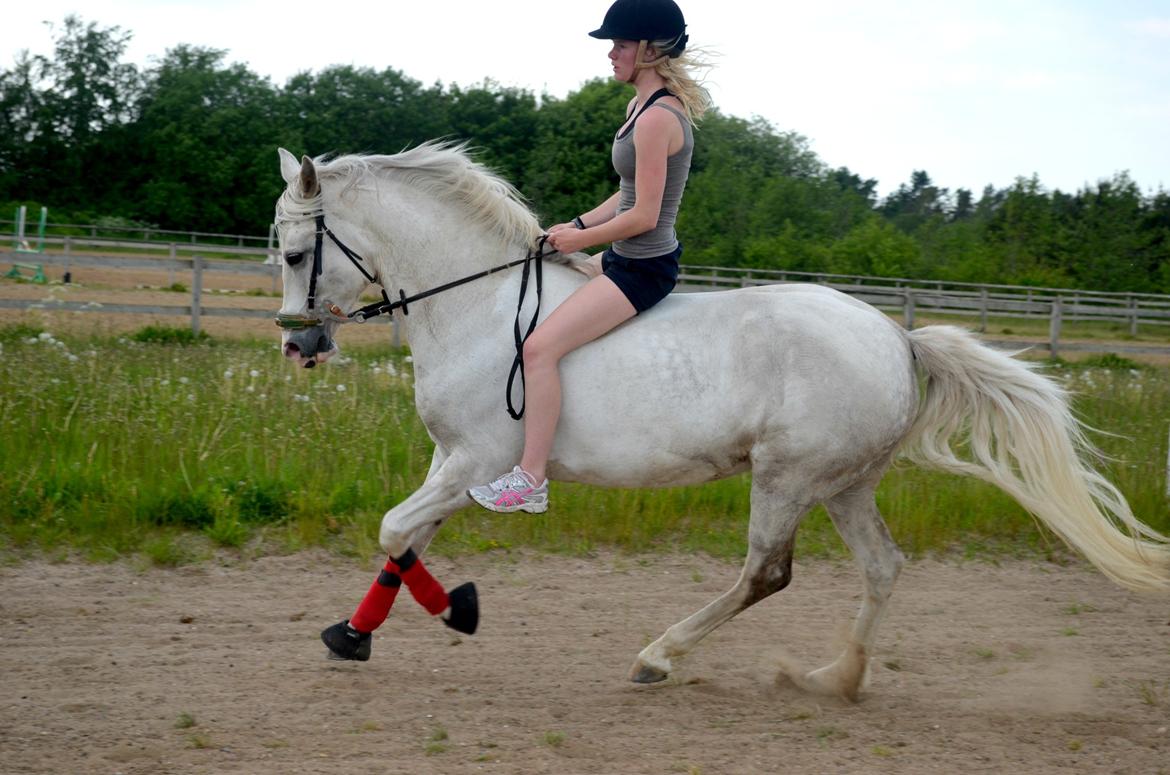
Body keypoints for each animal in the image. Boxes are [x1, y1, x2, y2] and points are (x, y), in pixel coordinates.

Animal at [276, 142, 1170, 702]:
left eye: (292, 253)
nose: (298, 343)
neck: (480, 303)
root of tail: (896, 335)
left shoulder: (478, 461)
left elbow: (395, 528)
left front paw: (446, 611)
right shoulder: (451, 460)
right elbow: (405, 538)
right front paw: (362, 629)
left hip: (787, 476)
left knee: (765, 572)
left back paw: (659, 657)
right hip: (845, 484)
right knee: (882, 567)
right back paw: (835, 679)